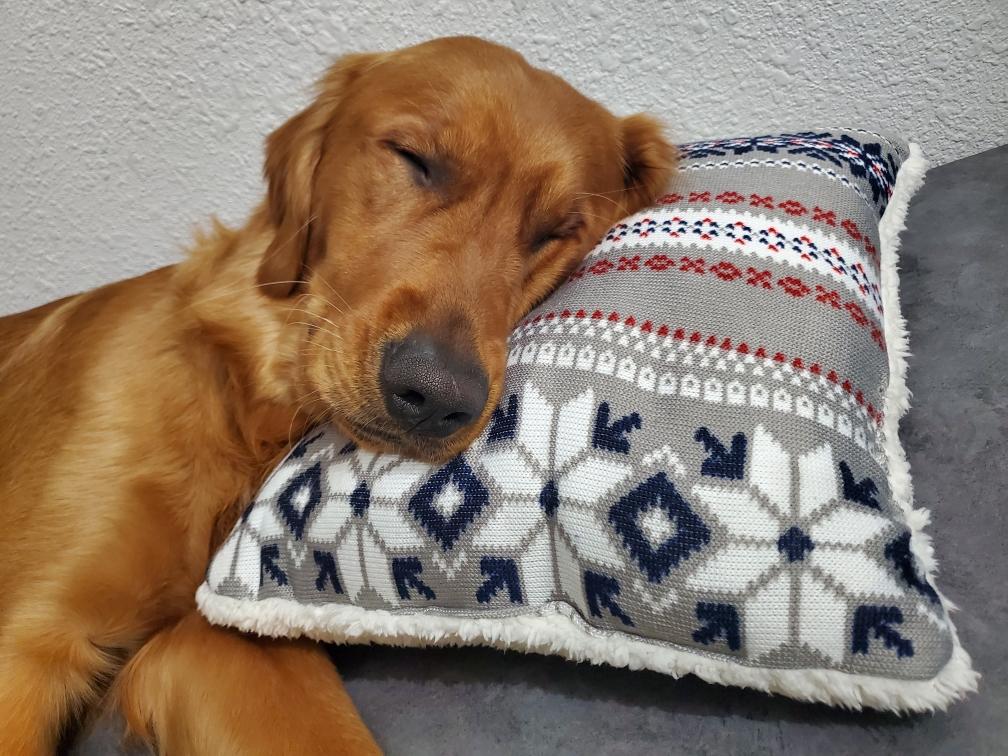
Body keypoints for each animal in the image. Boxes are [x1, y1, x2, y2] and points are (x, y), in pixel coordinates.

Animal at [0, 36, 675, 754]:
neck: (246, 403)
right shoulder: (32, 639)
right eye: (414, 160)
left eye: (558, 230)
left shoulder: (215, 636)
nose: (435, 394)